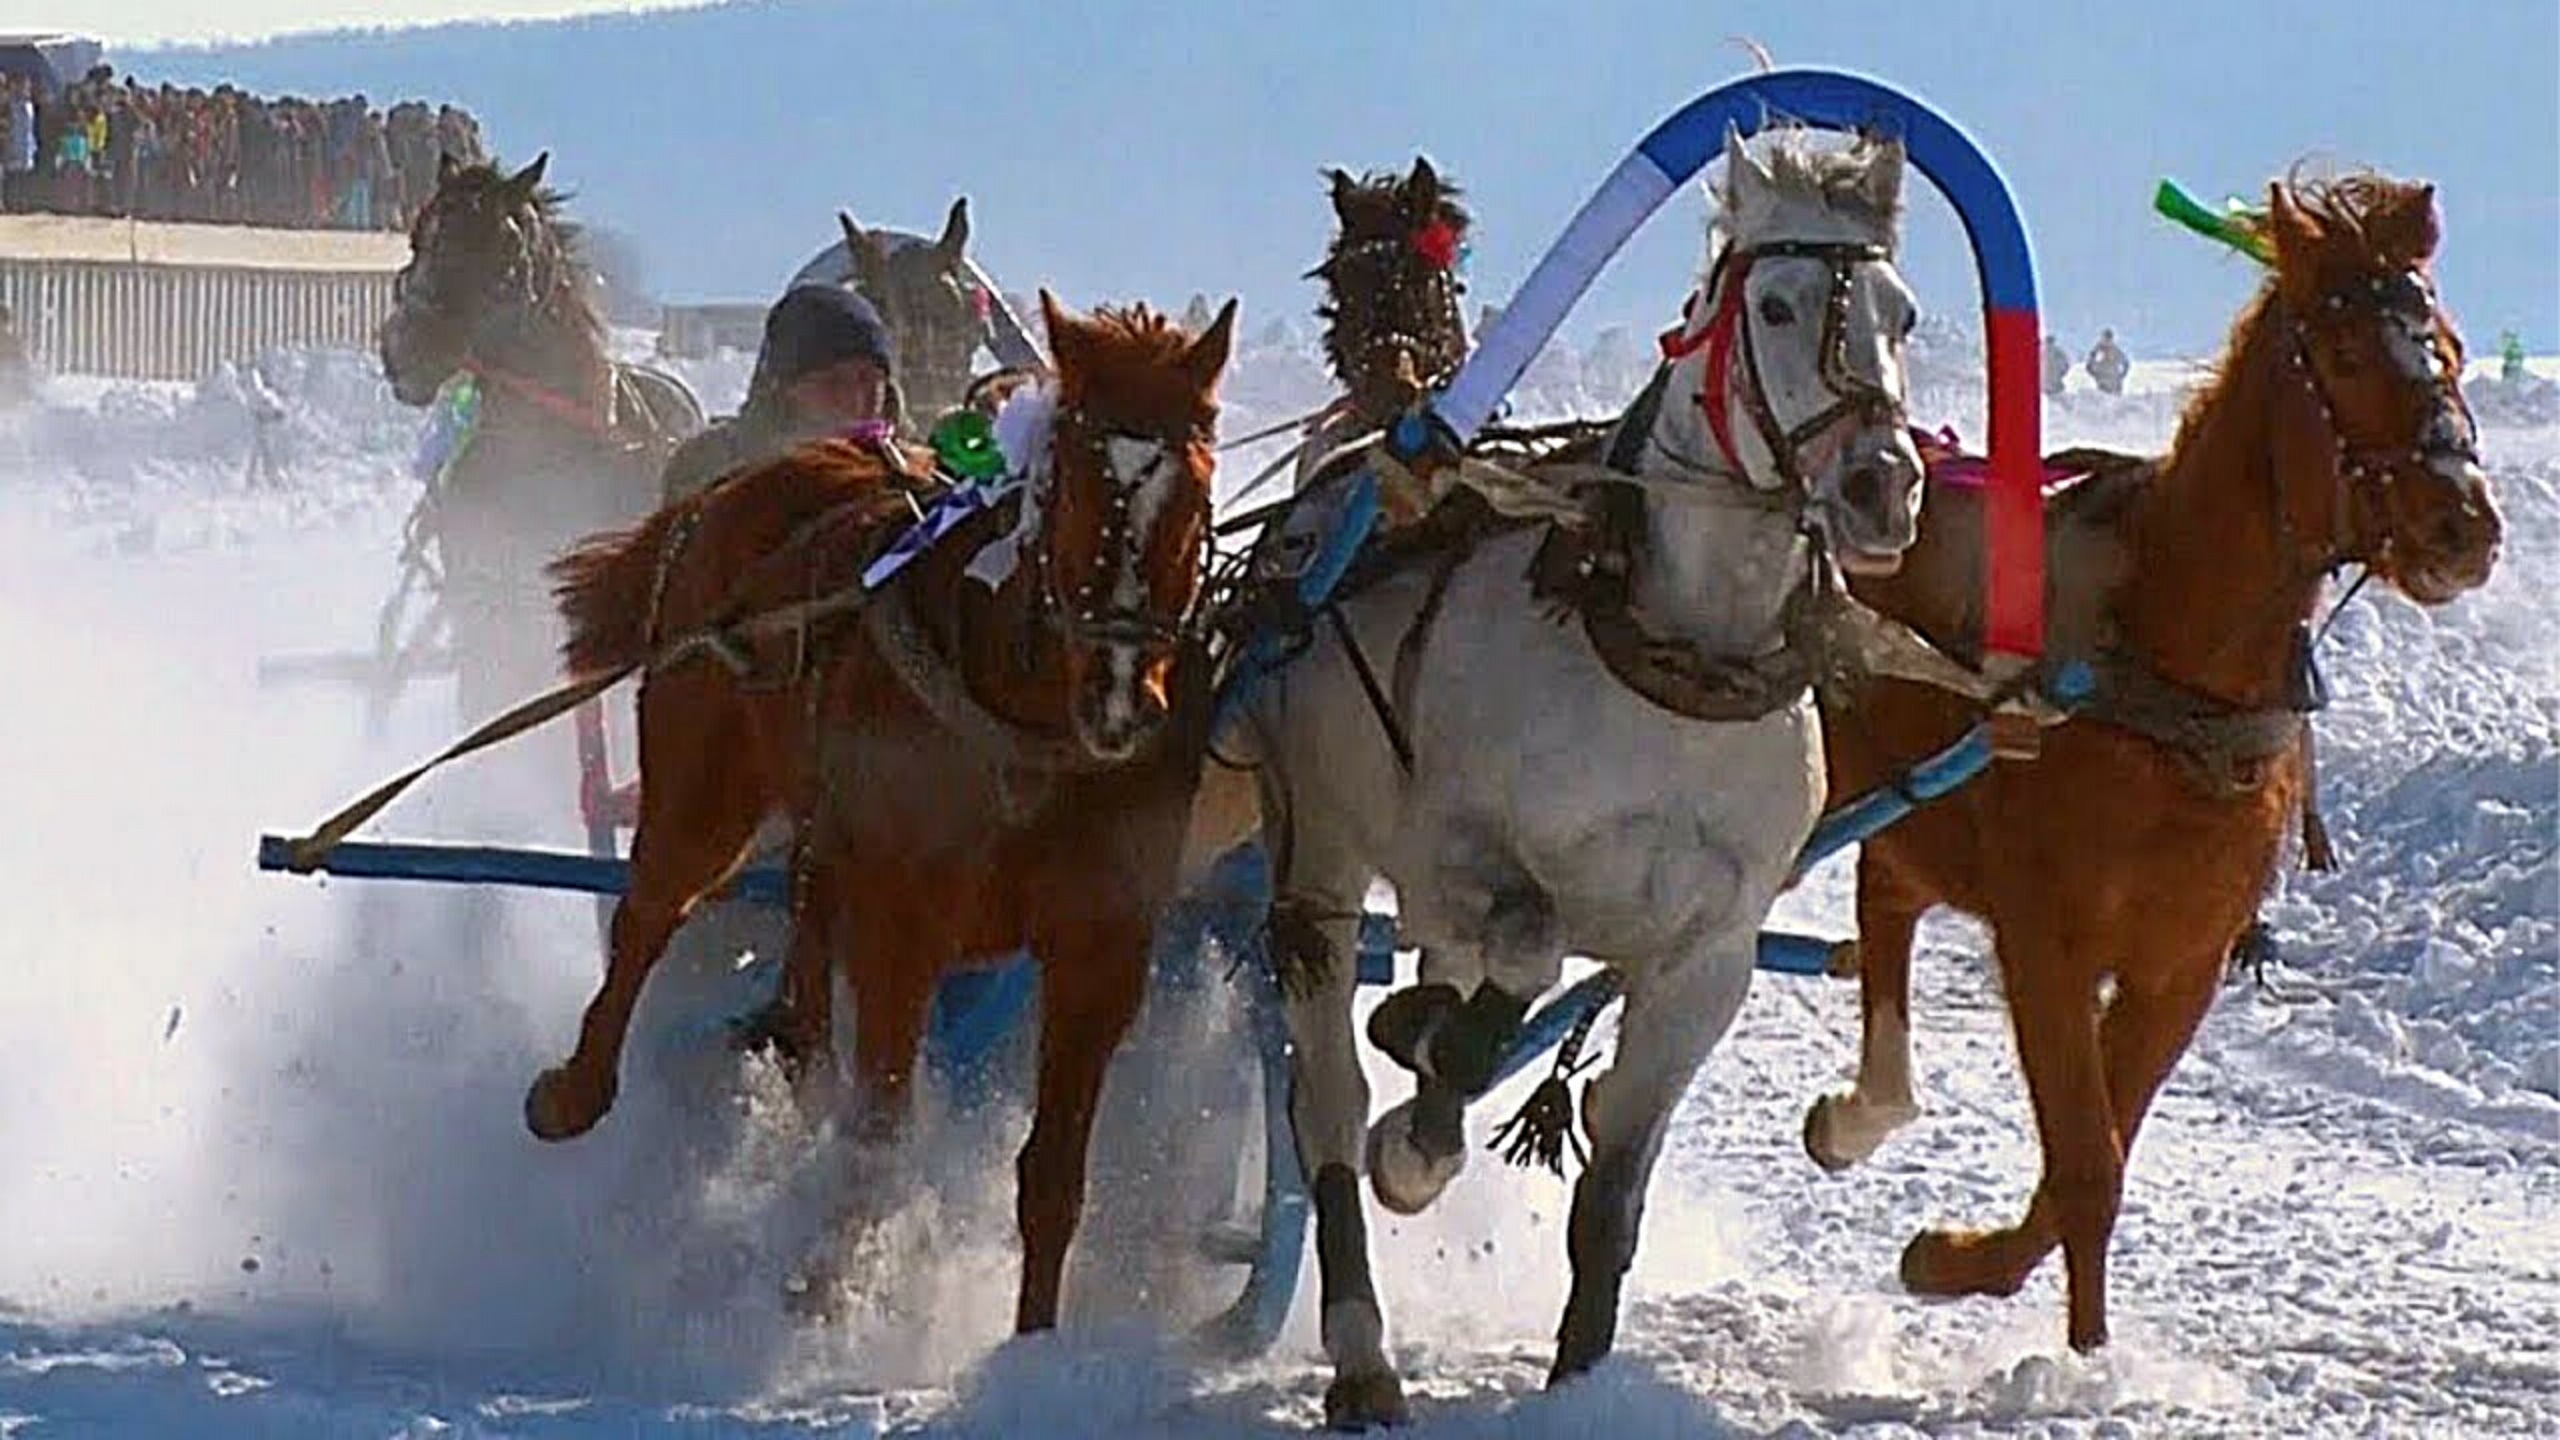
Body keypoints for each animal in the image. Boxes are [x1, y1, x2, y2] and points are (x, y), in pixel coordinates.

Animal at [527, 285, 1228, 1332]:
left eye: (1193, 492)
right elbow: (880, 1134)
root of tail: (729, 492)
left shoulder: (1102, 946)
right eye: (1074, 481)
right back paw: (575, 1091)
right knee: (654, 912)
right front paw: (825, 1290)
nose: (1120, 698)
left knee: (800, 941)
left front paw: (1033, 1340)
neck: (1023, 727)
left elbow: (1054, 1175)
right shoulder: (901, 927)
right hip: (703, 788)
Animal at [1228, 131, 1925, 1424]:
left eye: (1901, 312)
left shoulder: (1708, 960)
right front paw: (1422, 1120)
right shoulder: (1456, 859)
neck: (1673, 664)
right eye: (1774, 302)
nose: (1878, 485)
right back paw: (1363, 1341)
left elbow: (1612, 1187)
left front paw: (1580, 1373)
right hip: (1317, 862)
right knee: (1328, 1102)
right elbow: (1513, 959)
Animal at [1802, 174, 2498, 1352]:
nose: (2465, 525)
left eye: (2446, 347)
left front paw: (1968, 1262)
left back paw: (1860, 1110)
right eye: (2345, 354)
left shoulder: (2180, 963)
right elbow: (2084, 1161)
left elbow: (2094, 1160)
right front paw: (2083, 1358)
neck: (2171, 687)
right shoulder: (2046, 937)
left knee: (1886, 899)